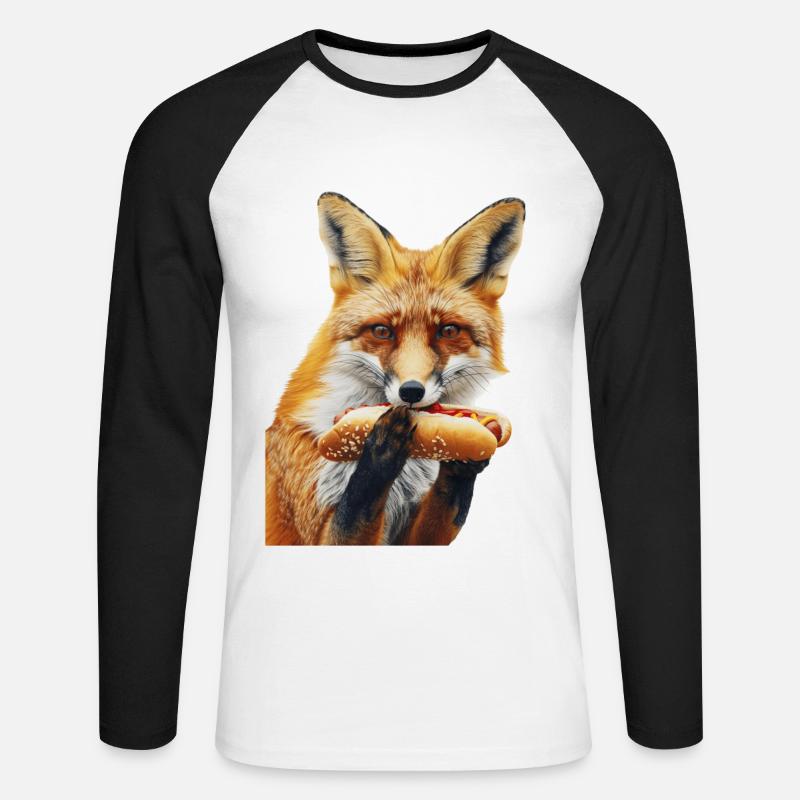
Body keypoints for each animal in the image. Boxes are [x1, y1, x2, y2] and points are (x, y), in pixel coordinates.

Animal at [265, 192, 525, 545]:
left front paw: (465, 459)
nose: (411, 391)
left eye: (448, 331)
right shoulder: (315, 529)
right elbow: (356, 505)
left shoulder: (411, 536)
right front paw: (382, 446)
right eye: (382, 331)